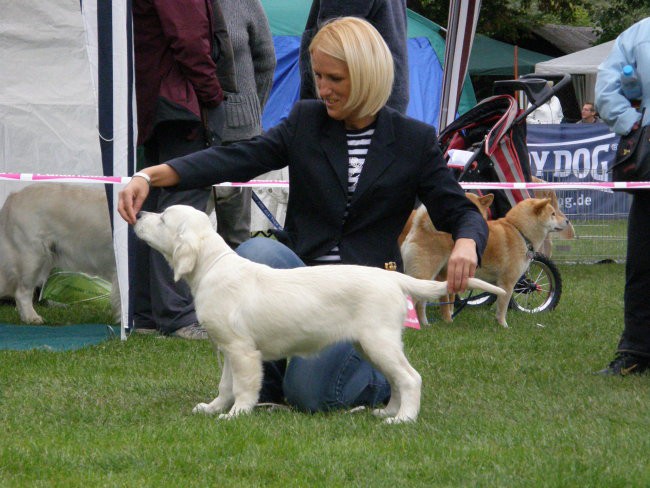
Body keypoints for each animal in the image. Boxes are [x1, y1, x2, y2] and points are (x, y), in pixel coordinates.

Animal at [133, 205, 506, 424]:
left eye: (163, 219)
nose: (137, 215)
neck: (211, 266)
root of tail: (392, 277)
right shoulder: (227, 348)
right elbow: (225, 385)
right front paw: (212, 408)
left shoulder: (242, 351)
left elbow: (244, 387)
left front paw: (236, 414)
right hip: (368, 346)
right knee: (396, 380)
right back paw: (387, 411)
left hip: (378, 340)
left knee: (411, 378)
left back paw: (402, 420)